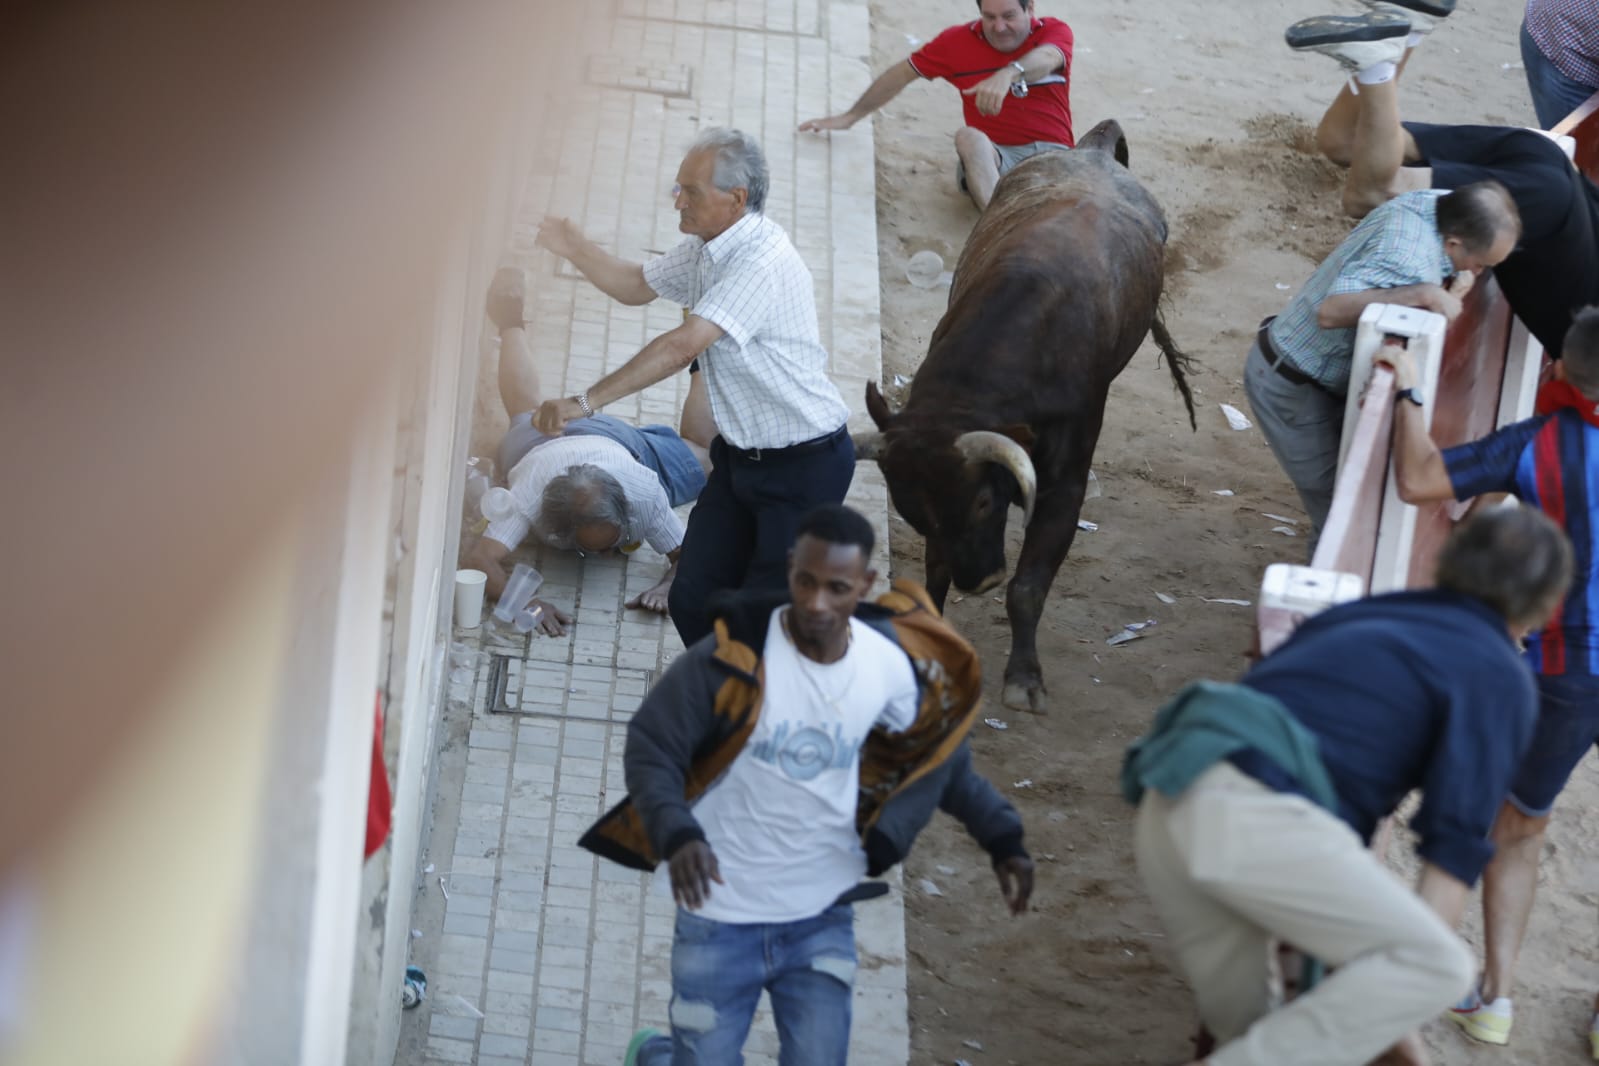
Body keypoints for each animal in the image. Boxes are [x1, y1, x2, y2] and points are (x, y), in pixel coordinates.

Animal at [857, 120, 1196, 712]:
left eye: (984, 501)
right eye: (911, 509)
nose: (979, 582)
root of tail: (1093, 151)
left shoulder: (1064, 482)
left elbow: (1029, 586)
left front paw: (1023, 680)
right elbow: (933, 572)